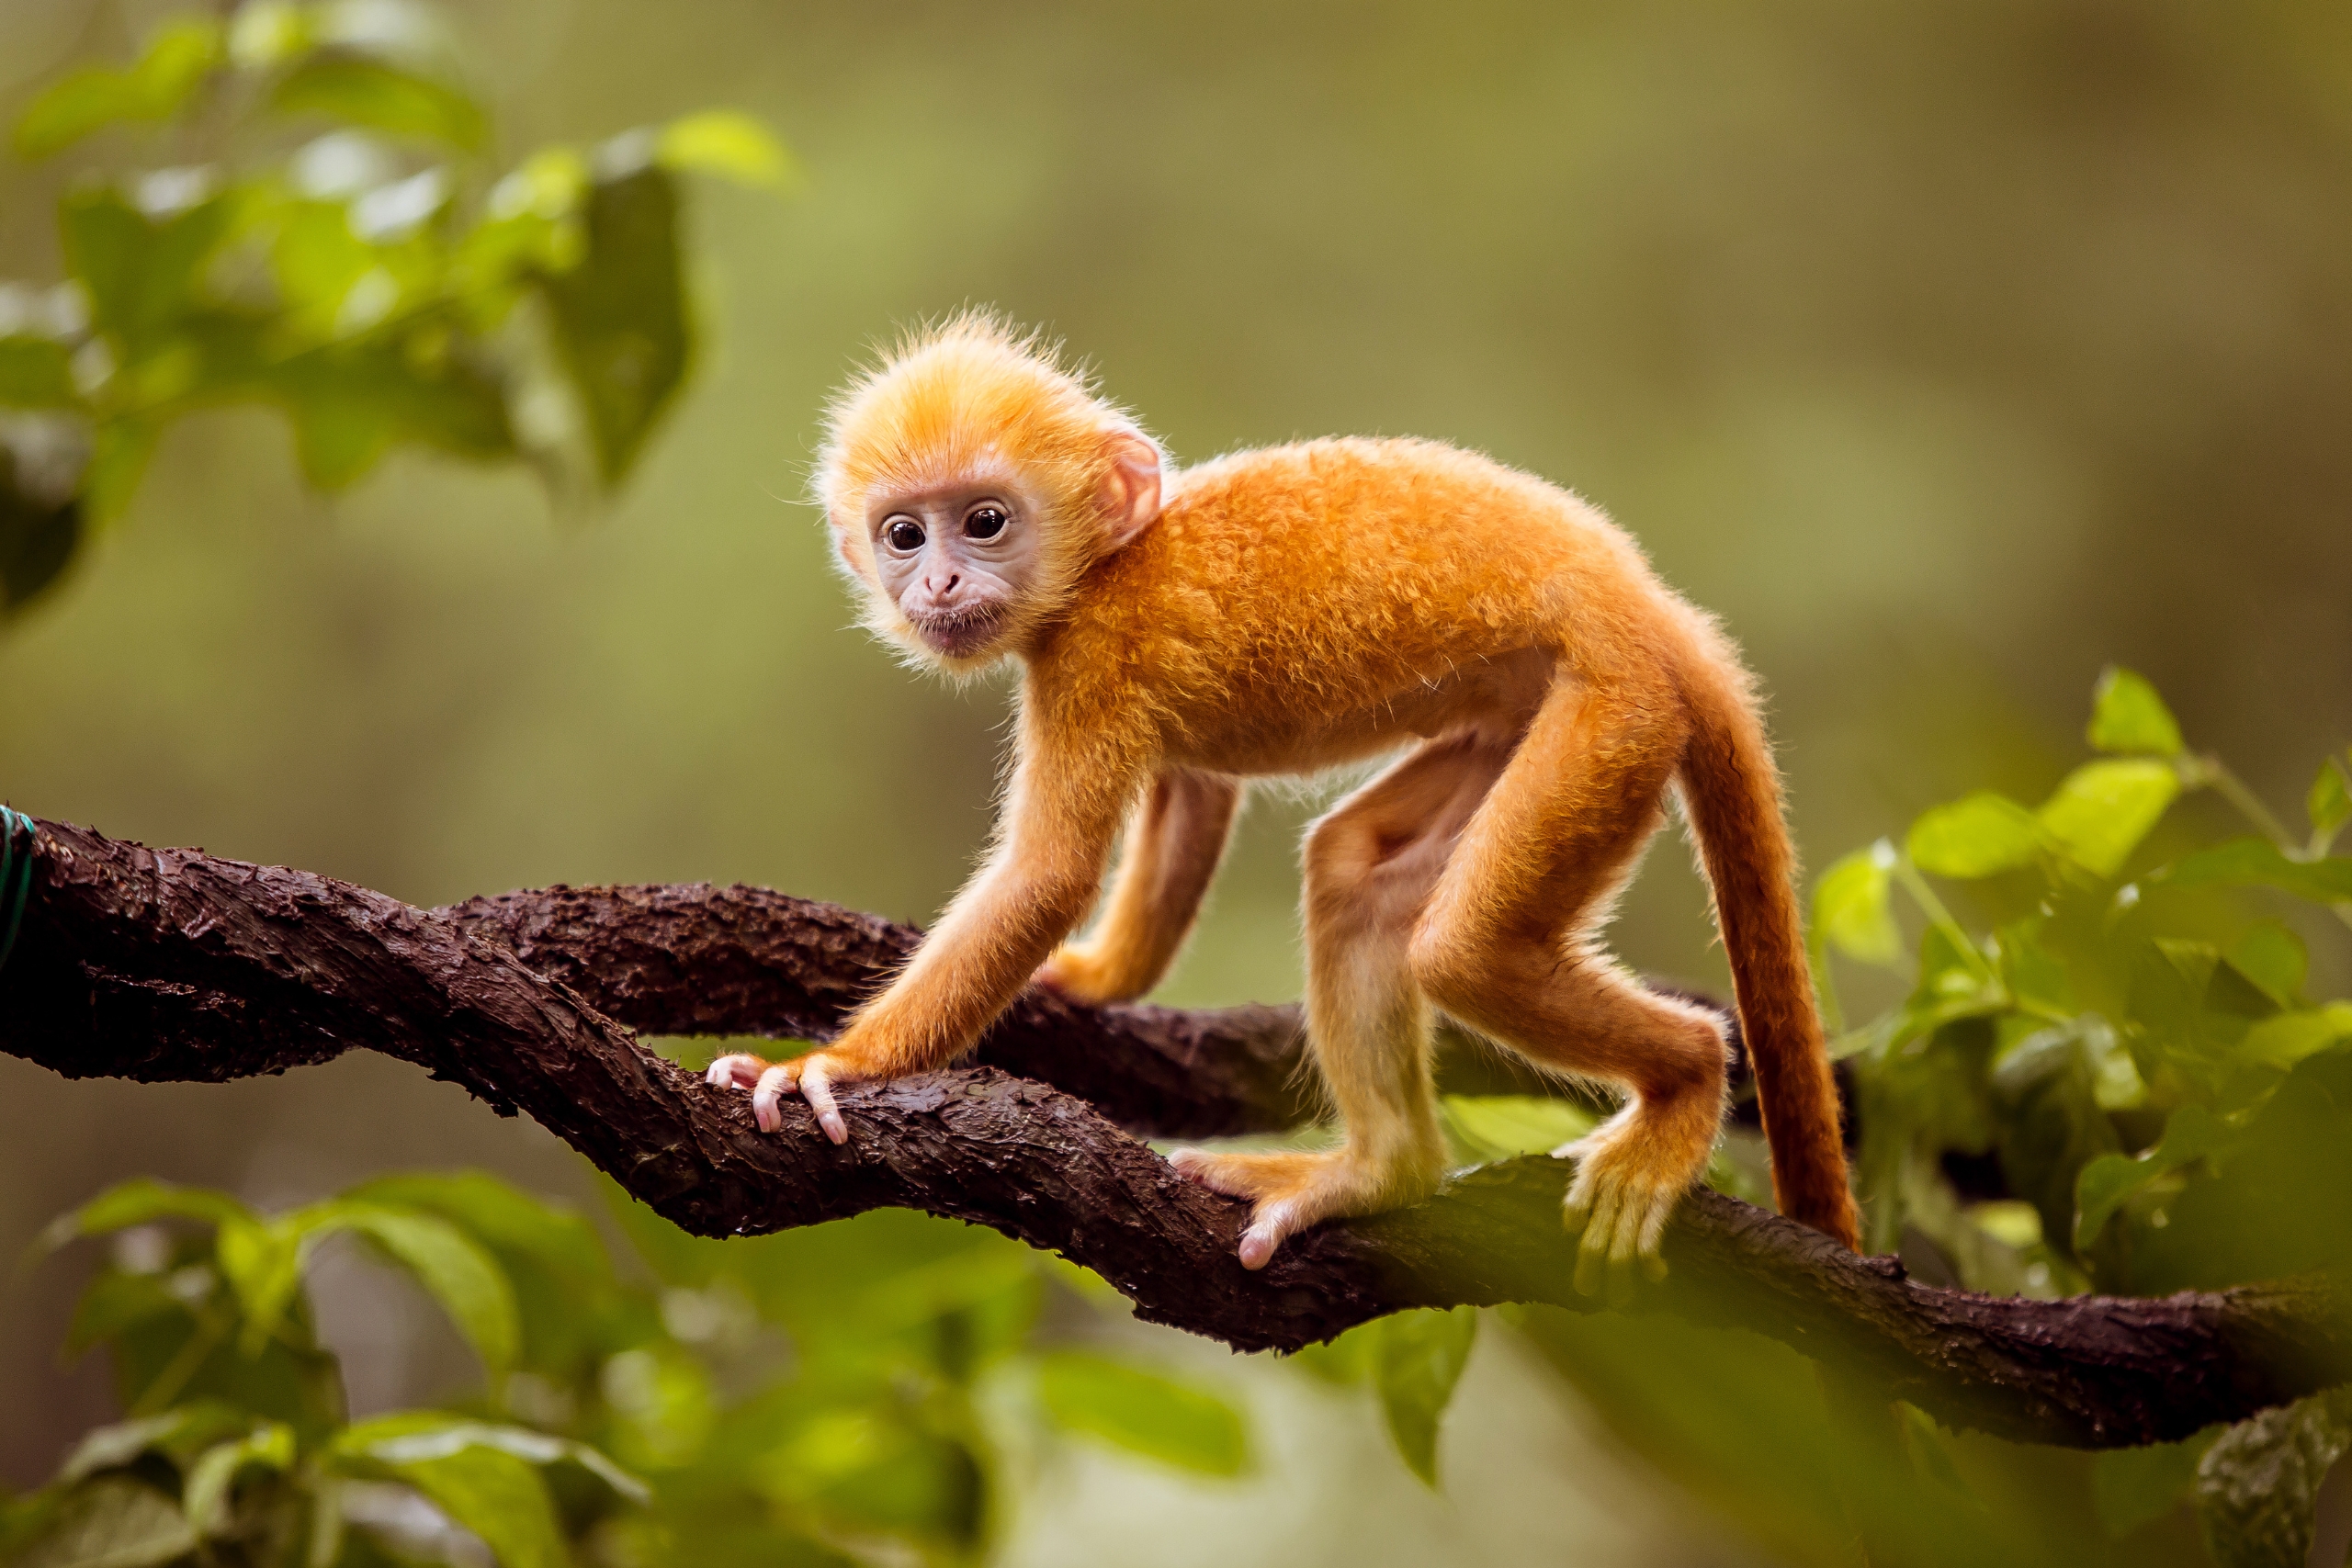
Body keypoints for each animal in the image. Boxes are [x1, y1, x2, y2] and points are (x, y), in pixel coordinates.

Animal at [707, 312, 1861, 1280]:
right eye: (905, 535)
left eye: (983, 522)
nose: (936, 583)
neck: (1108, 562)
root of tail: (1650, 608)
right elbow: (1192, 793)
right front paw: (1088, 978)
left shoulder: (1094, 656)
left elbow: (1047, 875)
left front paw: (836, 1067)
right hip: (1532, 719)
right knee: (1357, 876)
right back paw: (1383, 1171)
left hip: (1613, 714)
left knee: (1464, 952)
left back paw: (1685, 1081)